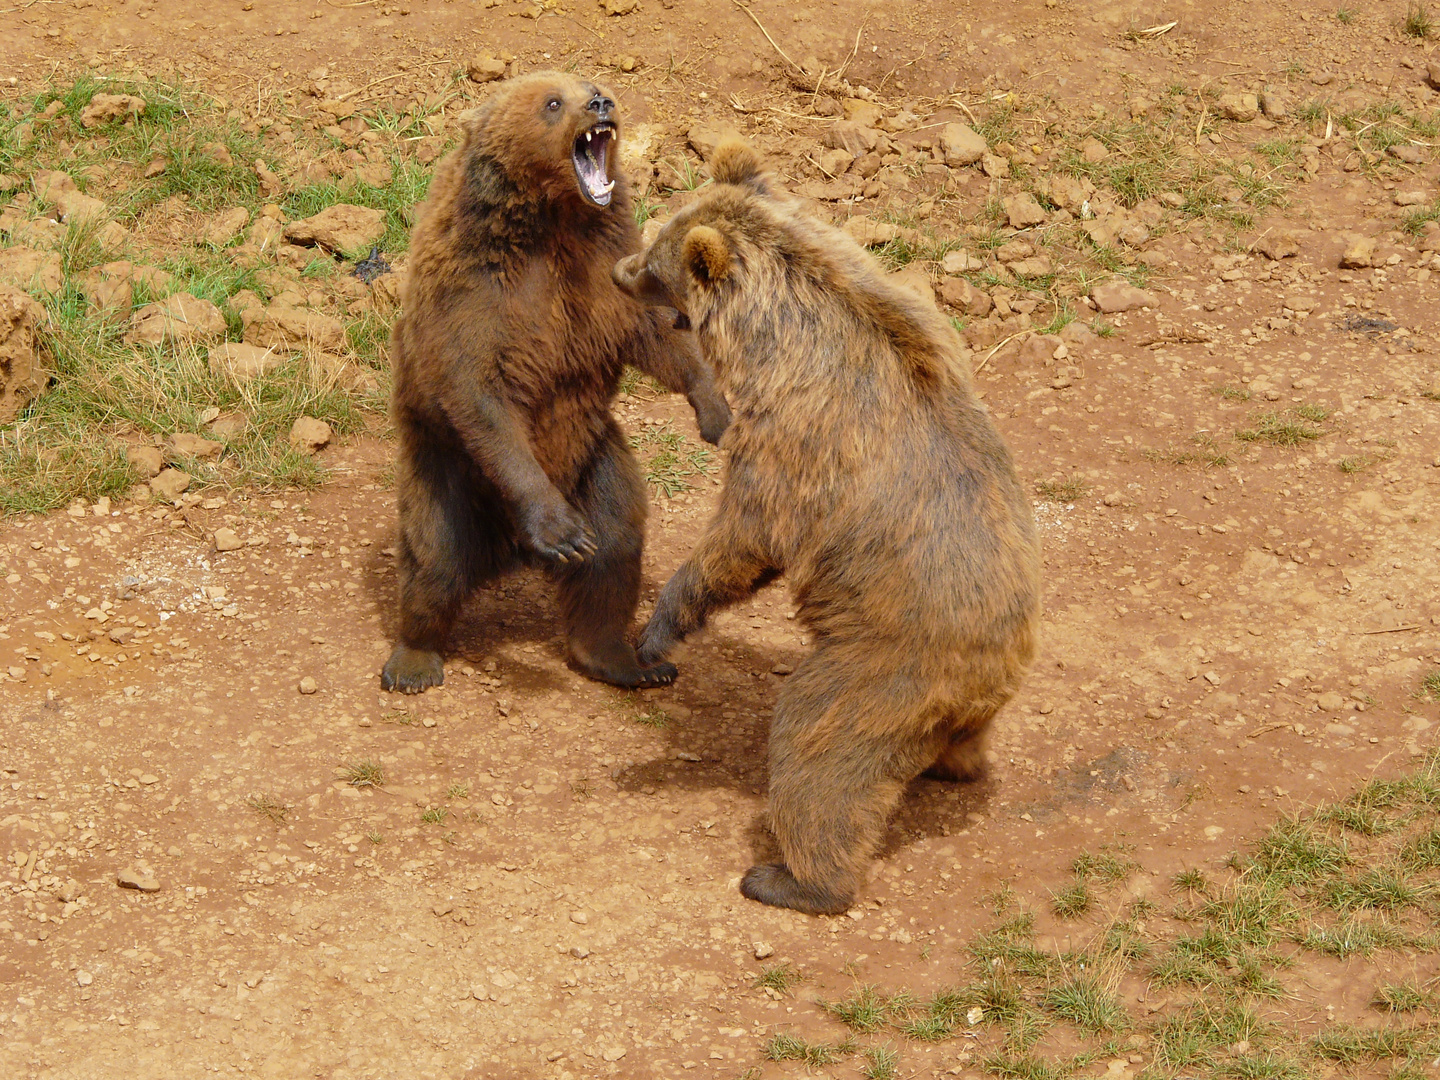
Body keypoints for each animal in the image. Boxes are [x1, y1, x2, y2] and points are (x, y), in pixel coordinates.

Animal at [380, 72, 731, 696]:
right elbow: (478, 391)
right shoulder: (476, 291)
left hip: (596, 459)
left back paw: (628, 660)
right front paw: (561, 532)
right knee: (435, 555)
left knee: (615, 546)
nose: (601, 102)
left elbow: (655, 332)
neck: (552, 219)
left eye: (591, 83)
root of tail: (507, 552)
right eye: (551, 102)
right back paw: (414, 661)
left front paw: (715, 410)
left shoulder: (603, 267)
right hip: (444, 466)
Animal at [613, 139, 1042, 915]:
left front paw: (658, 630)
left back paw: (790, 878)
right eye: (656, 230)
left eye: (657, 264)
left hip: (881, 664)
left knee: (818, 750)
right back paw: (953, 766)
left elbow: (745, 536)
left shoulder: (797, 441)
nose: (618, 269)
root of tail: (995, 674)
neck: (778, 334)